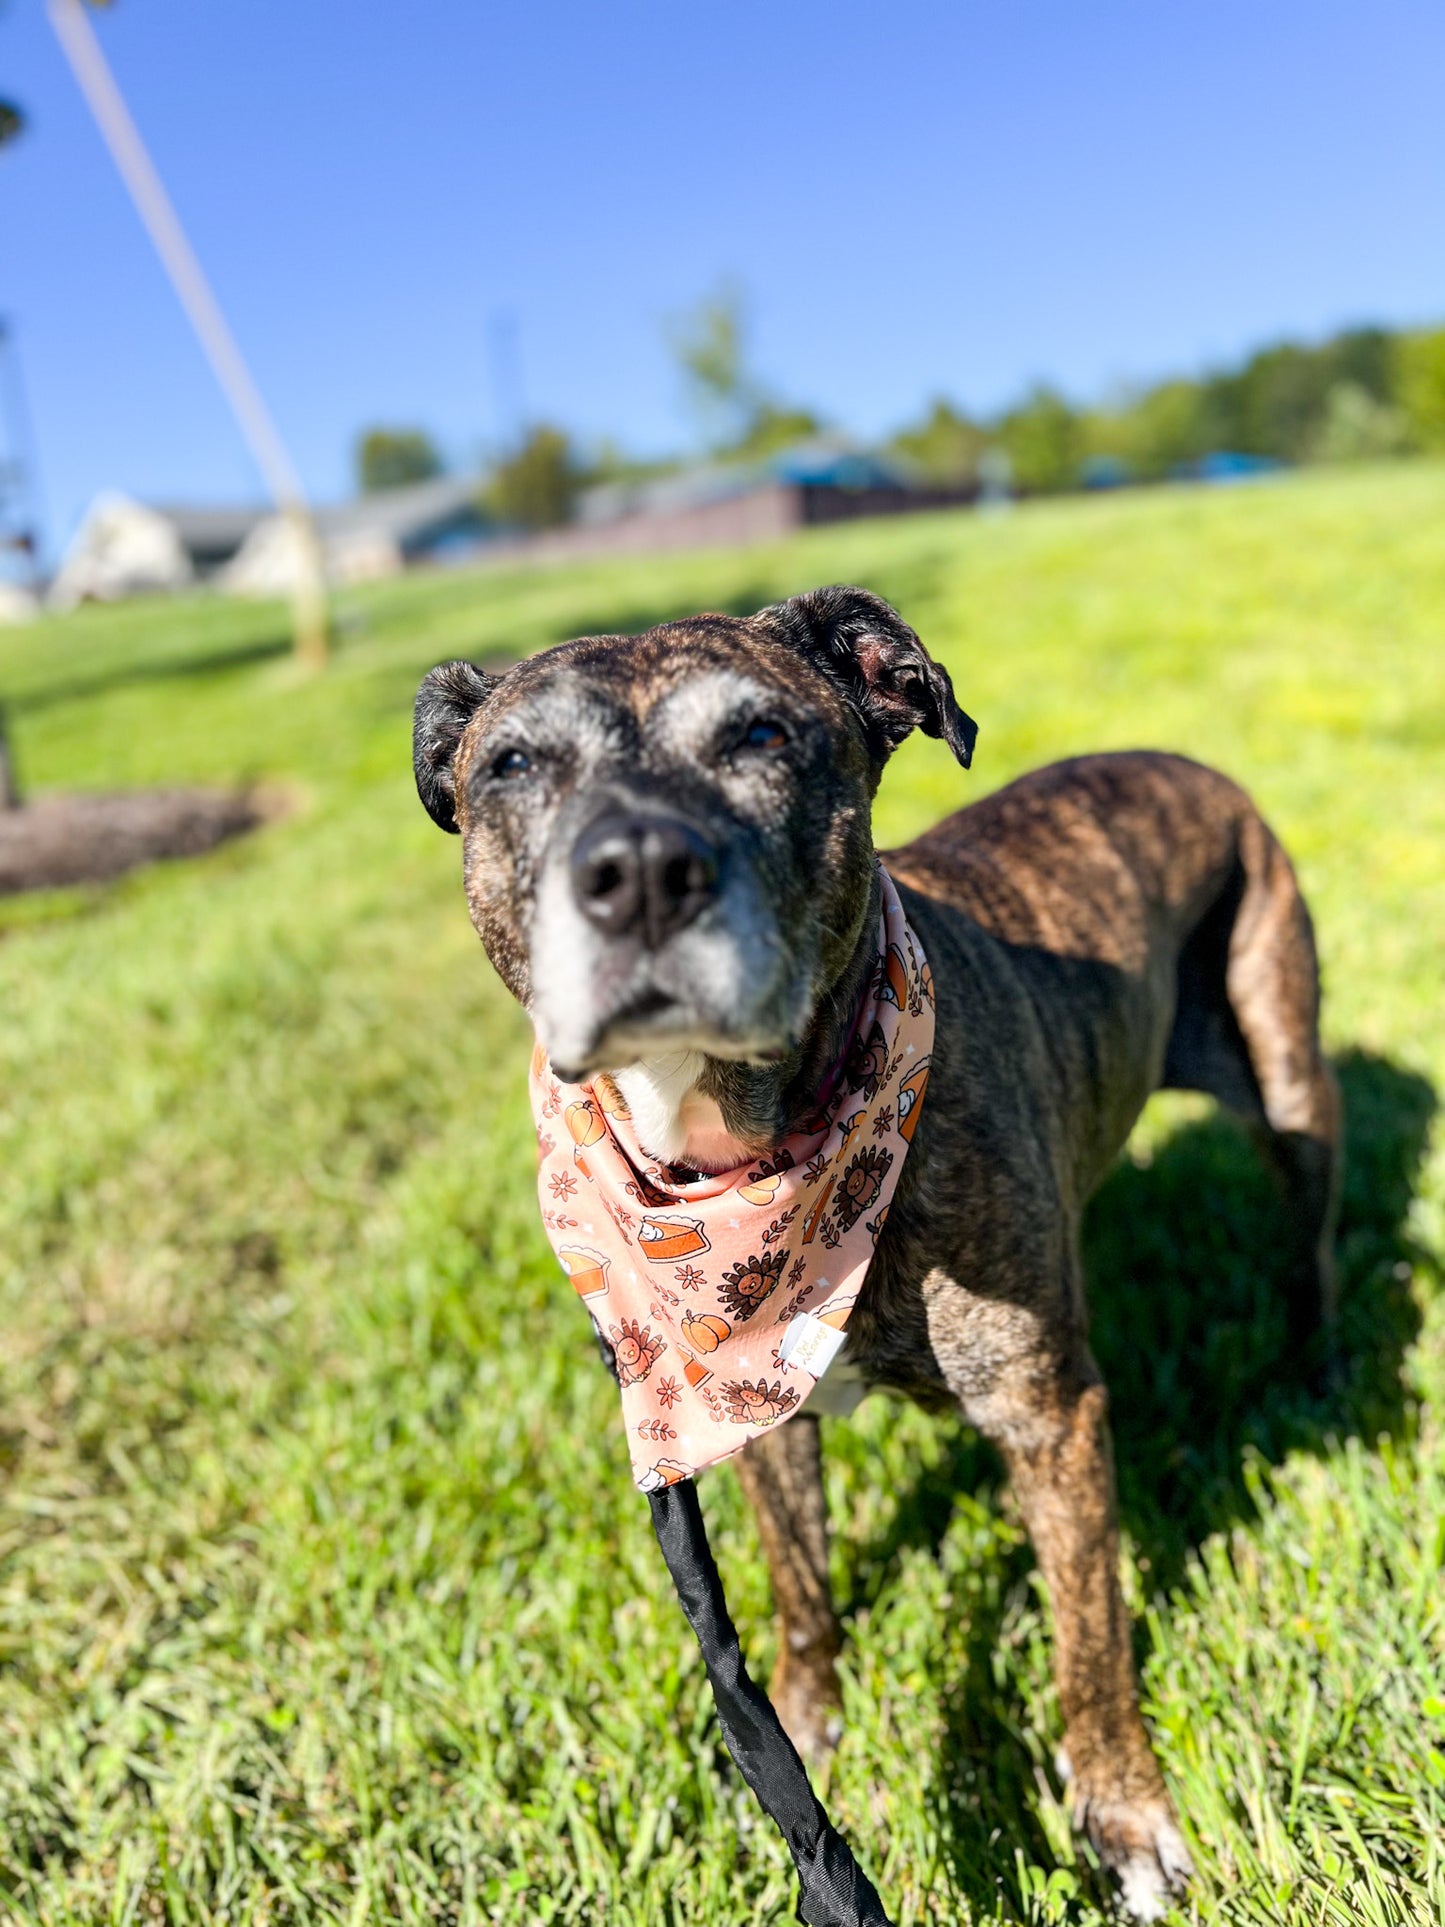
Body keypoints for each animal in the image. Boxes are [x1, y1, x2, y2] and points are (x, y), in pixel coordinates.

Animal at [412, 581, 1340, 1911]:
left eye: (760, 735)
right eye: (513, 764)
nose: (638, 870)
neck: (750, 1155)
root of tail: (1185, 763)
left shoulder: (1047, 1417)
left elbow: (1089, 1640)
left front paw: (1122, 1818)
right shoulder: (738, 1406)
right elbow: (797, 1592)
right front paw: (803, 1726)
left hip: (1284, 1070)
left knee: (1309, 1236)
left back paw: (1313, 1367)